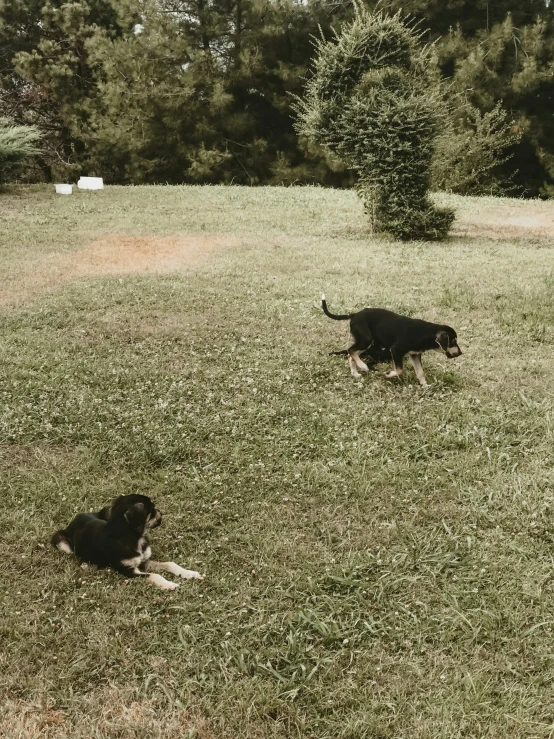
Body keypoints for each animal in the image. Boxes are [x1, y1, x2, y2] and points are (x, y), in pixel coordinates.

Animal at [51, 494, 203, 592]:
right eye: (152, 510)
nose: (162, 514)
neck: (132, 537)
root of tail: (76, 517)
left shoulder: (143, 562)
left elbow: (170, 564)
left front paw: (189, 573)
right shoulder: (129, 571)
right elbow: (154, 575)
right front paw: (169, 584)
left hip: (105, 512)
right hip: (60, 540)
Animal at [322, 294, 460, 388]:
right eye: (452, 341)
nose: (460, 353)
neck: (425, 333)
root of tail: (355, 314)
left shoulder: (415, 354)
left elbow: (420, 372)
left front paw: (425, 386)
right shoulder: (396, 350)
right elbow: (399, 370)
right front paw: (388, 374)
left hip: (365, 342)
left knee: (351, 354)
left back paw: (355, 373)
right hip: (366, 340)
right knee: (351, 350)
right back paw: (363, 366)